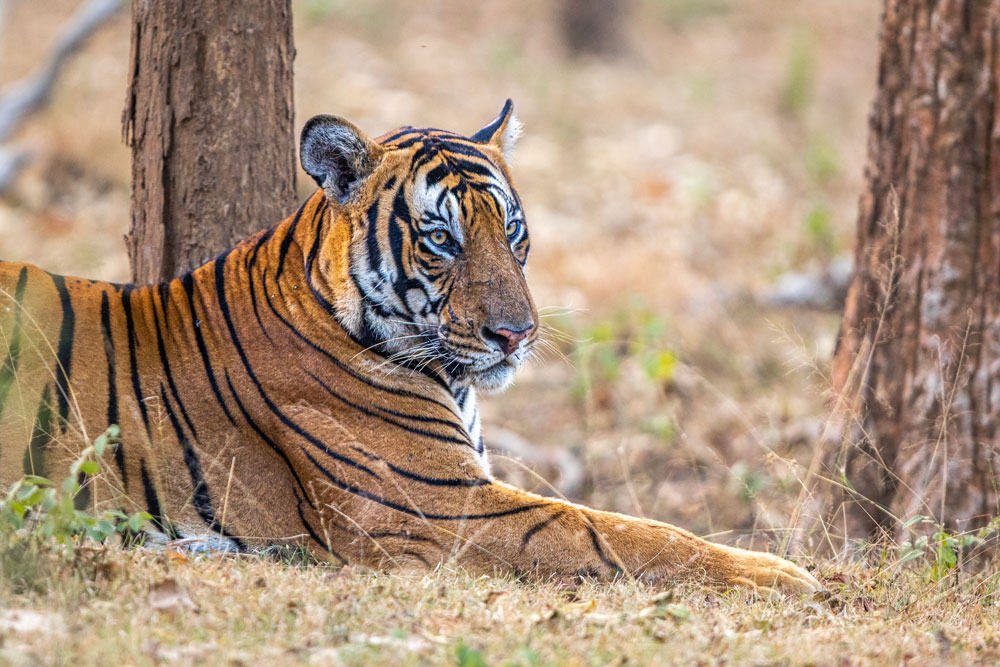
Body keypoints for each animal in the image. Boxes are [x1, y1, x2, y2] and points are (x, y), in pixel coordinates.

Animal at [0, 101, 820, 594]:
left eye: (511, 230)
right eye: (441, 239)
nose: (516, 334)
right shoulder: (441, 507)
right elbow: (618, 532)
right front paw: (786, 575)